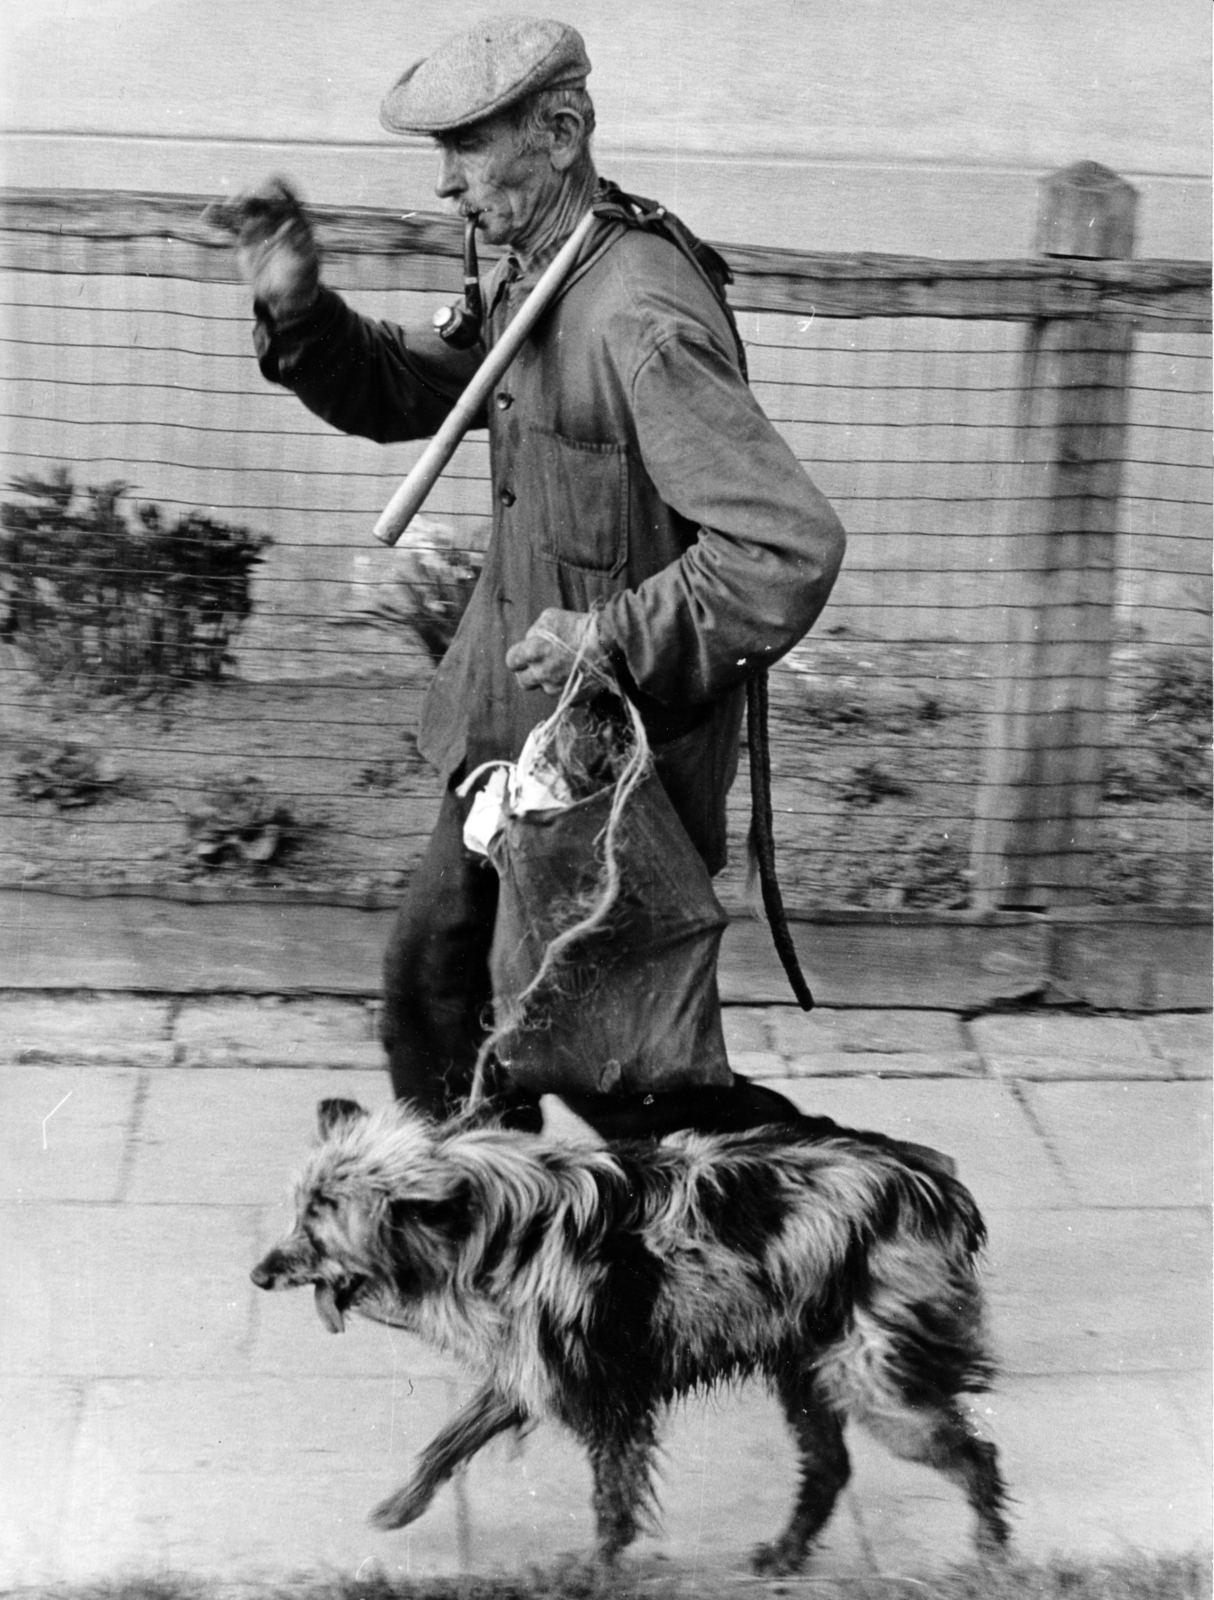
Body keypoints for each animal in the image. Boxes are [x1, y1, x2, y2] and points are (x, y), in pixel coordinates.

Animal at [251, 1094, 1010, 1568]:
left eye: (319, 1221)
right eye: (299, 1211)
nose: (258, 1274)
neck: (486, 1227)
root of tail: (934, 1187)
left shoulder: (606, 1402)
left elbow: (612, 1502)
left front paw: (593, 1570)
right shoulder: (530, 1372)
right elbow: (447, 1442)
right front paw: (401, 1506)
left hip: (880, 1388)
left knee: (978, 1458)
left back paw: (992, 1559)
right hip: (807, 1372)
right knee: (830, 1468)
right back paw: (786, 1554)